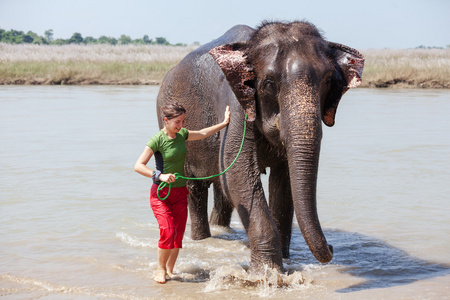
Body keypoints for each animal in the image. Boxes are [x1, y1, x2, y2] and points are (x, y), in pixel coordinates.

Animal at [156, 20, 364, 272]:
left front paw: (283, 261)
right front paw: (268, 273)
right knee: (195, 188)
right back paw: (202, 239)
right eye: (269, 83)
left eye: (326, 81)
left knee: (221, 188)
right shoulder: (237, 108)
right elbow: (239, 175)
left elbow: (283, 182)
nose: (332, 247)